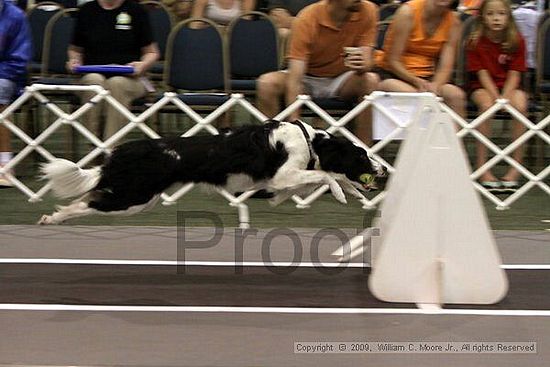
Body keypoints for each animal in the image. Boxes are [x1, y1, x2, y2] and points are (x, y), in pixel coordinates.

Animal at [37, 121, 388, 224]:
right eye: (362, 154)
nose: (384, 169)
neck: (310, 141)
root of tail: (121, 151)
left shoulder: (278, 184)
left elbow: (319, 180)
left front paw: (350, 192)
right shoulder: (283, 174)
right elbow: (327, 176)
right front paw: (341, 193)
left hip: (138, 198)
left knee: (89, 198)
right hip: (134, 197)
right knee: (88, 202)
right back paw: (52, 218)